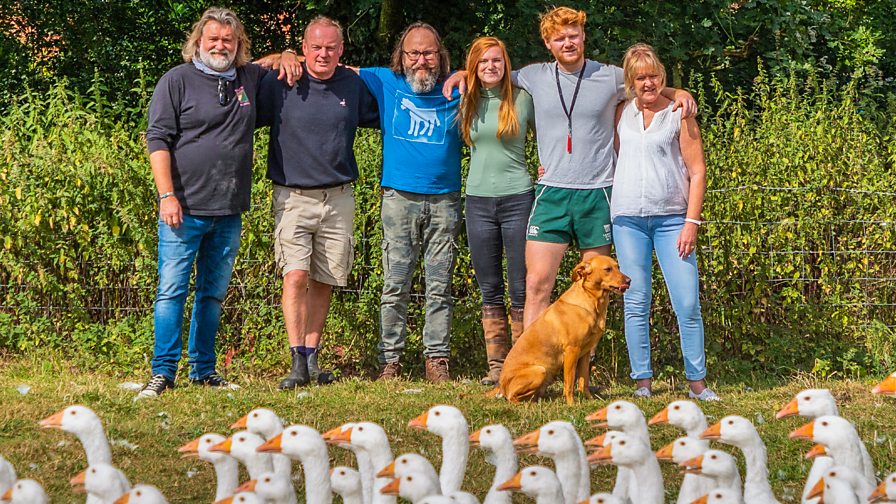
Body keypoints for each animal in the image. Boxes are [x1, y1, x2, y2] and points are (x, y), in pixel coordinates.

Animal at [490, 256, 632, 406]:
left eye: (618, 267)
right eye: (607, 269)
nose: (629, 280)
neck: (592, 303)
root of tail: (501, 385)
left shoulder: (585, 353)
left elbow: (584, 381)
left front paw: (590, 400)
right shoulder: (572, 350)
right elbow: (569, 382)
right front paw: (571, 404)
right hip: (540, 371)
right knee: (511, 397)